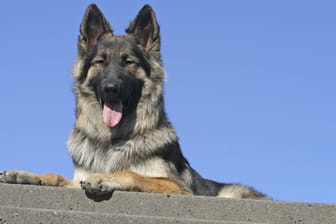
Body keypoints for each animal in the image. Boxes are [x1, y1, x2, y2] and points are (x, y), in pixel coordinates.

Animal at [0, 3, 268, 200]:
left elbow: (131, 173)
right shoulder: (77, 180)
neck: (112, 142)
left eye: (128, 62)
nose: (111, 89)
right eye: (100, 62)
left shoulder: (178, 188)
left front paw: (105, 178)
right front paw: (24, 175)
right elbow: (56, 176)